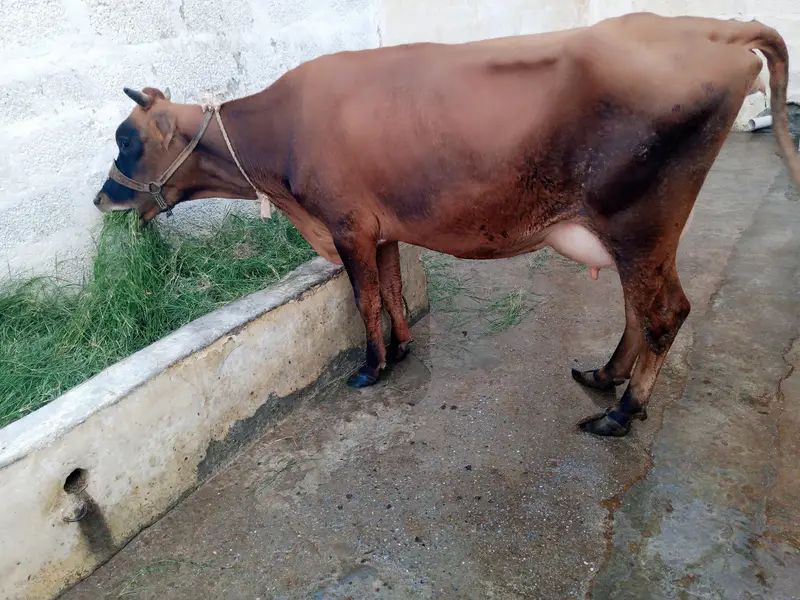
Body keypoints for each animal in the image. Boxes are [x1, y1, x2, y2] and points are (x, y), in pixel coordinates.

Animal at [93, 12, 799, 437]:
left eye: (127, 140)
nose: (103, 200)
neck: (281, 137)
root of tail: (713, 28)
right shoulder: (379, 228)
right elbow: (393, 292)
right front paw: (403, 349)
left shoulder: (346, 225)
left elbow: (364, 299)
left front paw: (371, 367)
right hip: (637, 231)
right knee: (642, 308)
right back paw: (604, 378)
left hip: (641, 219)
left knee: (662, 312)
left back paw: (623, 413)